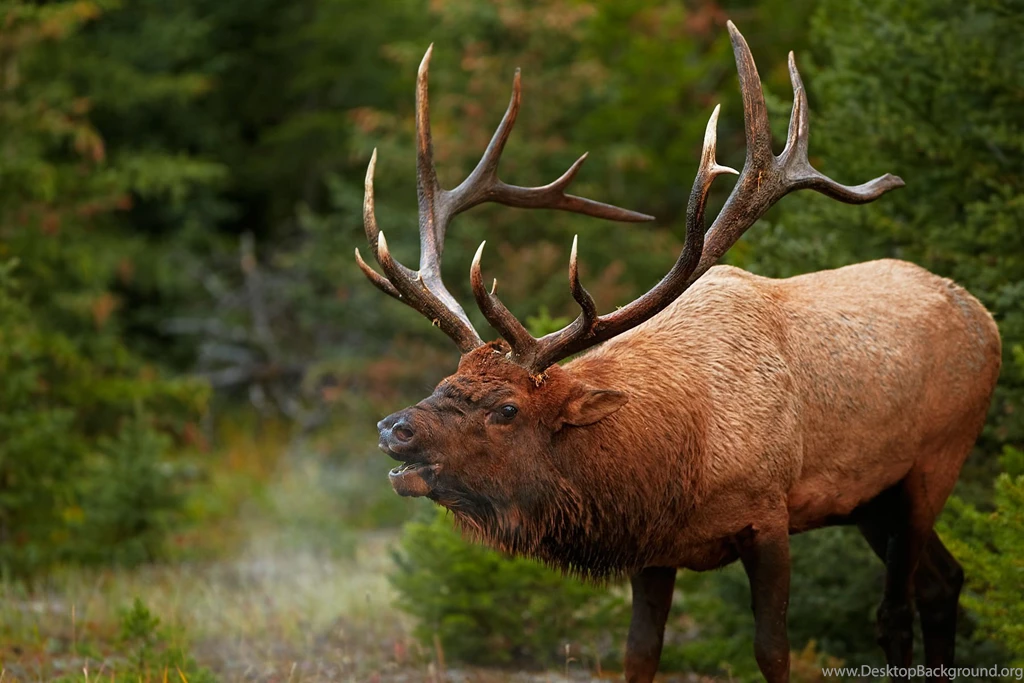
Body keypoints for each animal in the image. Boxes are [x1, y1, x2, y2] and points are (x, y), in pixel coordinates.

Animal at [354, 22, 1001, 683]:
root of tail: (983, 314)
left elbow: (773, 651)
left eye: (507, 409)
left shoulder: (769, 516)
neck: (673, 463)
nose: (394, 428)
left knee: (897, 607)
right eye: (444, 381)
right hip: (872, 498)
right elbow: (639, 653)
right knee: (943, 582)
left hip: (935, 461)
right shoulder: (652, 549)